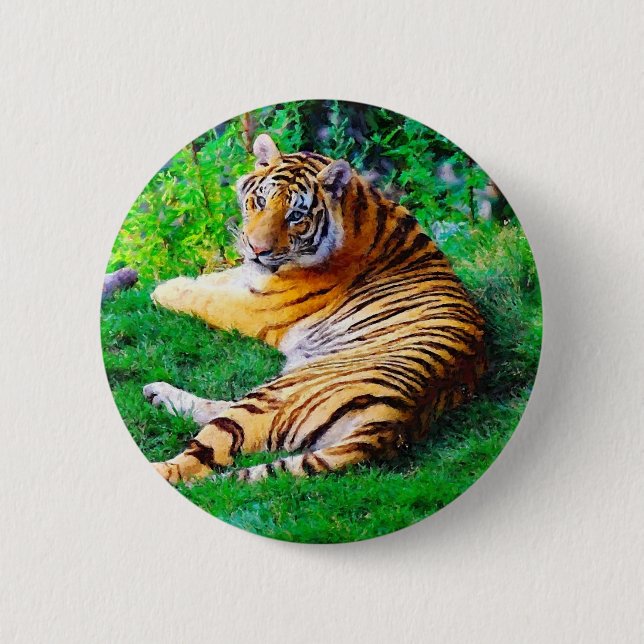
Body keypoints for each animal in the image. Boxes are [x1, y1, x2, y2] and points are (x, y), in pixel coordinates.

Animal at [144, 133, 487, 484]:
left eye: (296, 216)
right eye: (261, 201)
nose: (256, 249)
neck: (359, 209)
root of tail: (393, 421)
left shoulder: (257, 307)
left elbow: (204, 299)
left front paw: (162, 289)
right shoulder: (255, 278)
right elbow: (217, 279)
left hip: (271, 397)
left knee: (197, 460)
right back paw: (156, 392)